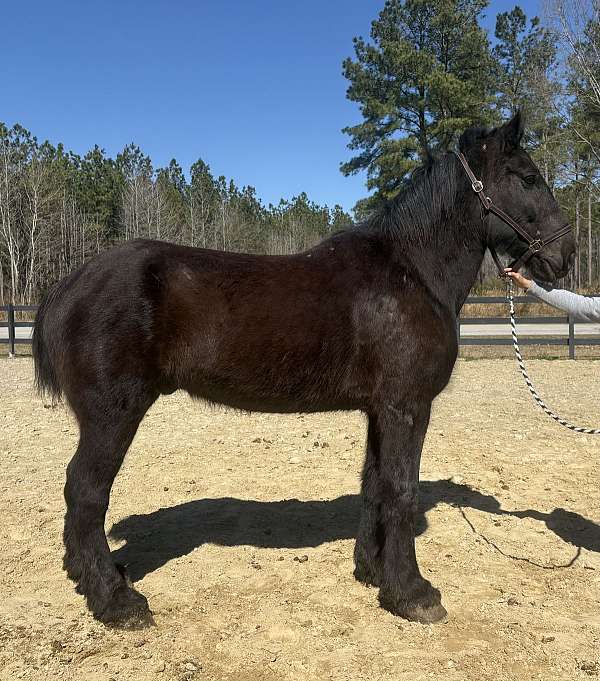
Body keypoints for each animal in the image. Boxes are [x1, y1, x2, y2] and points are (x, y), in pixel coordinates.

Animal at [32, 113, 576, 628]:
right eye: (528, 177)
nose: (563, 255)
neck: (411, 272)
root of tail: (69, 284)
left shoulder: (379, 410)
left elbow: (375, 485)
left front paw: (373, 572)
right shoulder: (407, 407)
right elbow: (402, 490)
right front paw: (413, 594)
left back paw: (88, 578)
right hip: (113, 414)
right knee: (86, 491)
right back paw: (116, 601)